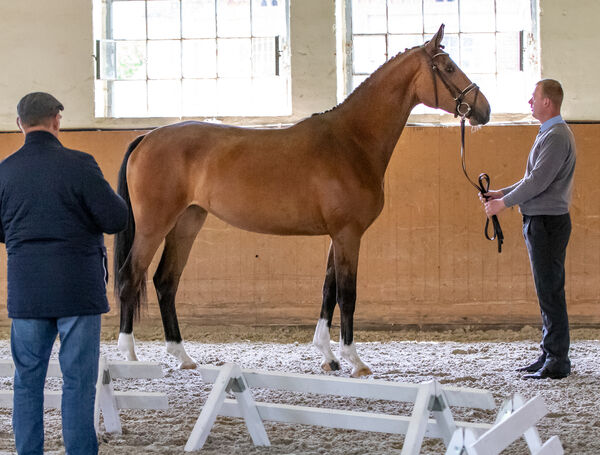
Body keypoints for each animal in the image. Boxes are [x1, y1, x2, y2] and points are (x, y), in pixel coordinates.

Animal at [115, 24, 490, 378]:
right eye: (449, 67)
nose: (484, 110)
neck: (351, 141)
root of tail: (147, 137)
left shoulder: (337, 236)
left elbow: (328, 291)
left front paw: (328, 356)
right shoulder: (348, 234)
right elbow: (347, 294)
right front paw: (354, 361)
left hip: (187, 222)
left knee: (165, 282)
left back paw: (182, 356)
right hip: (153, 226)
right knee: (129, 276)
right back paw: (129, 356)